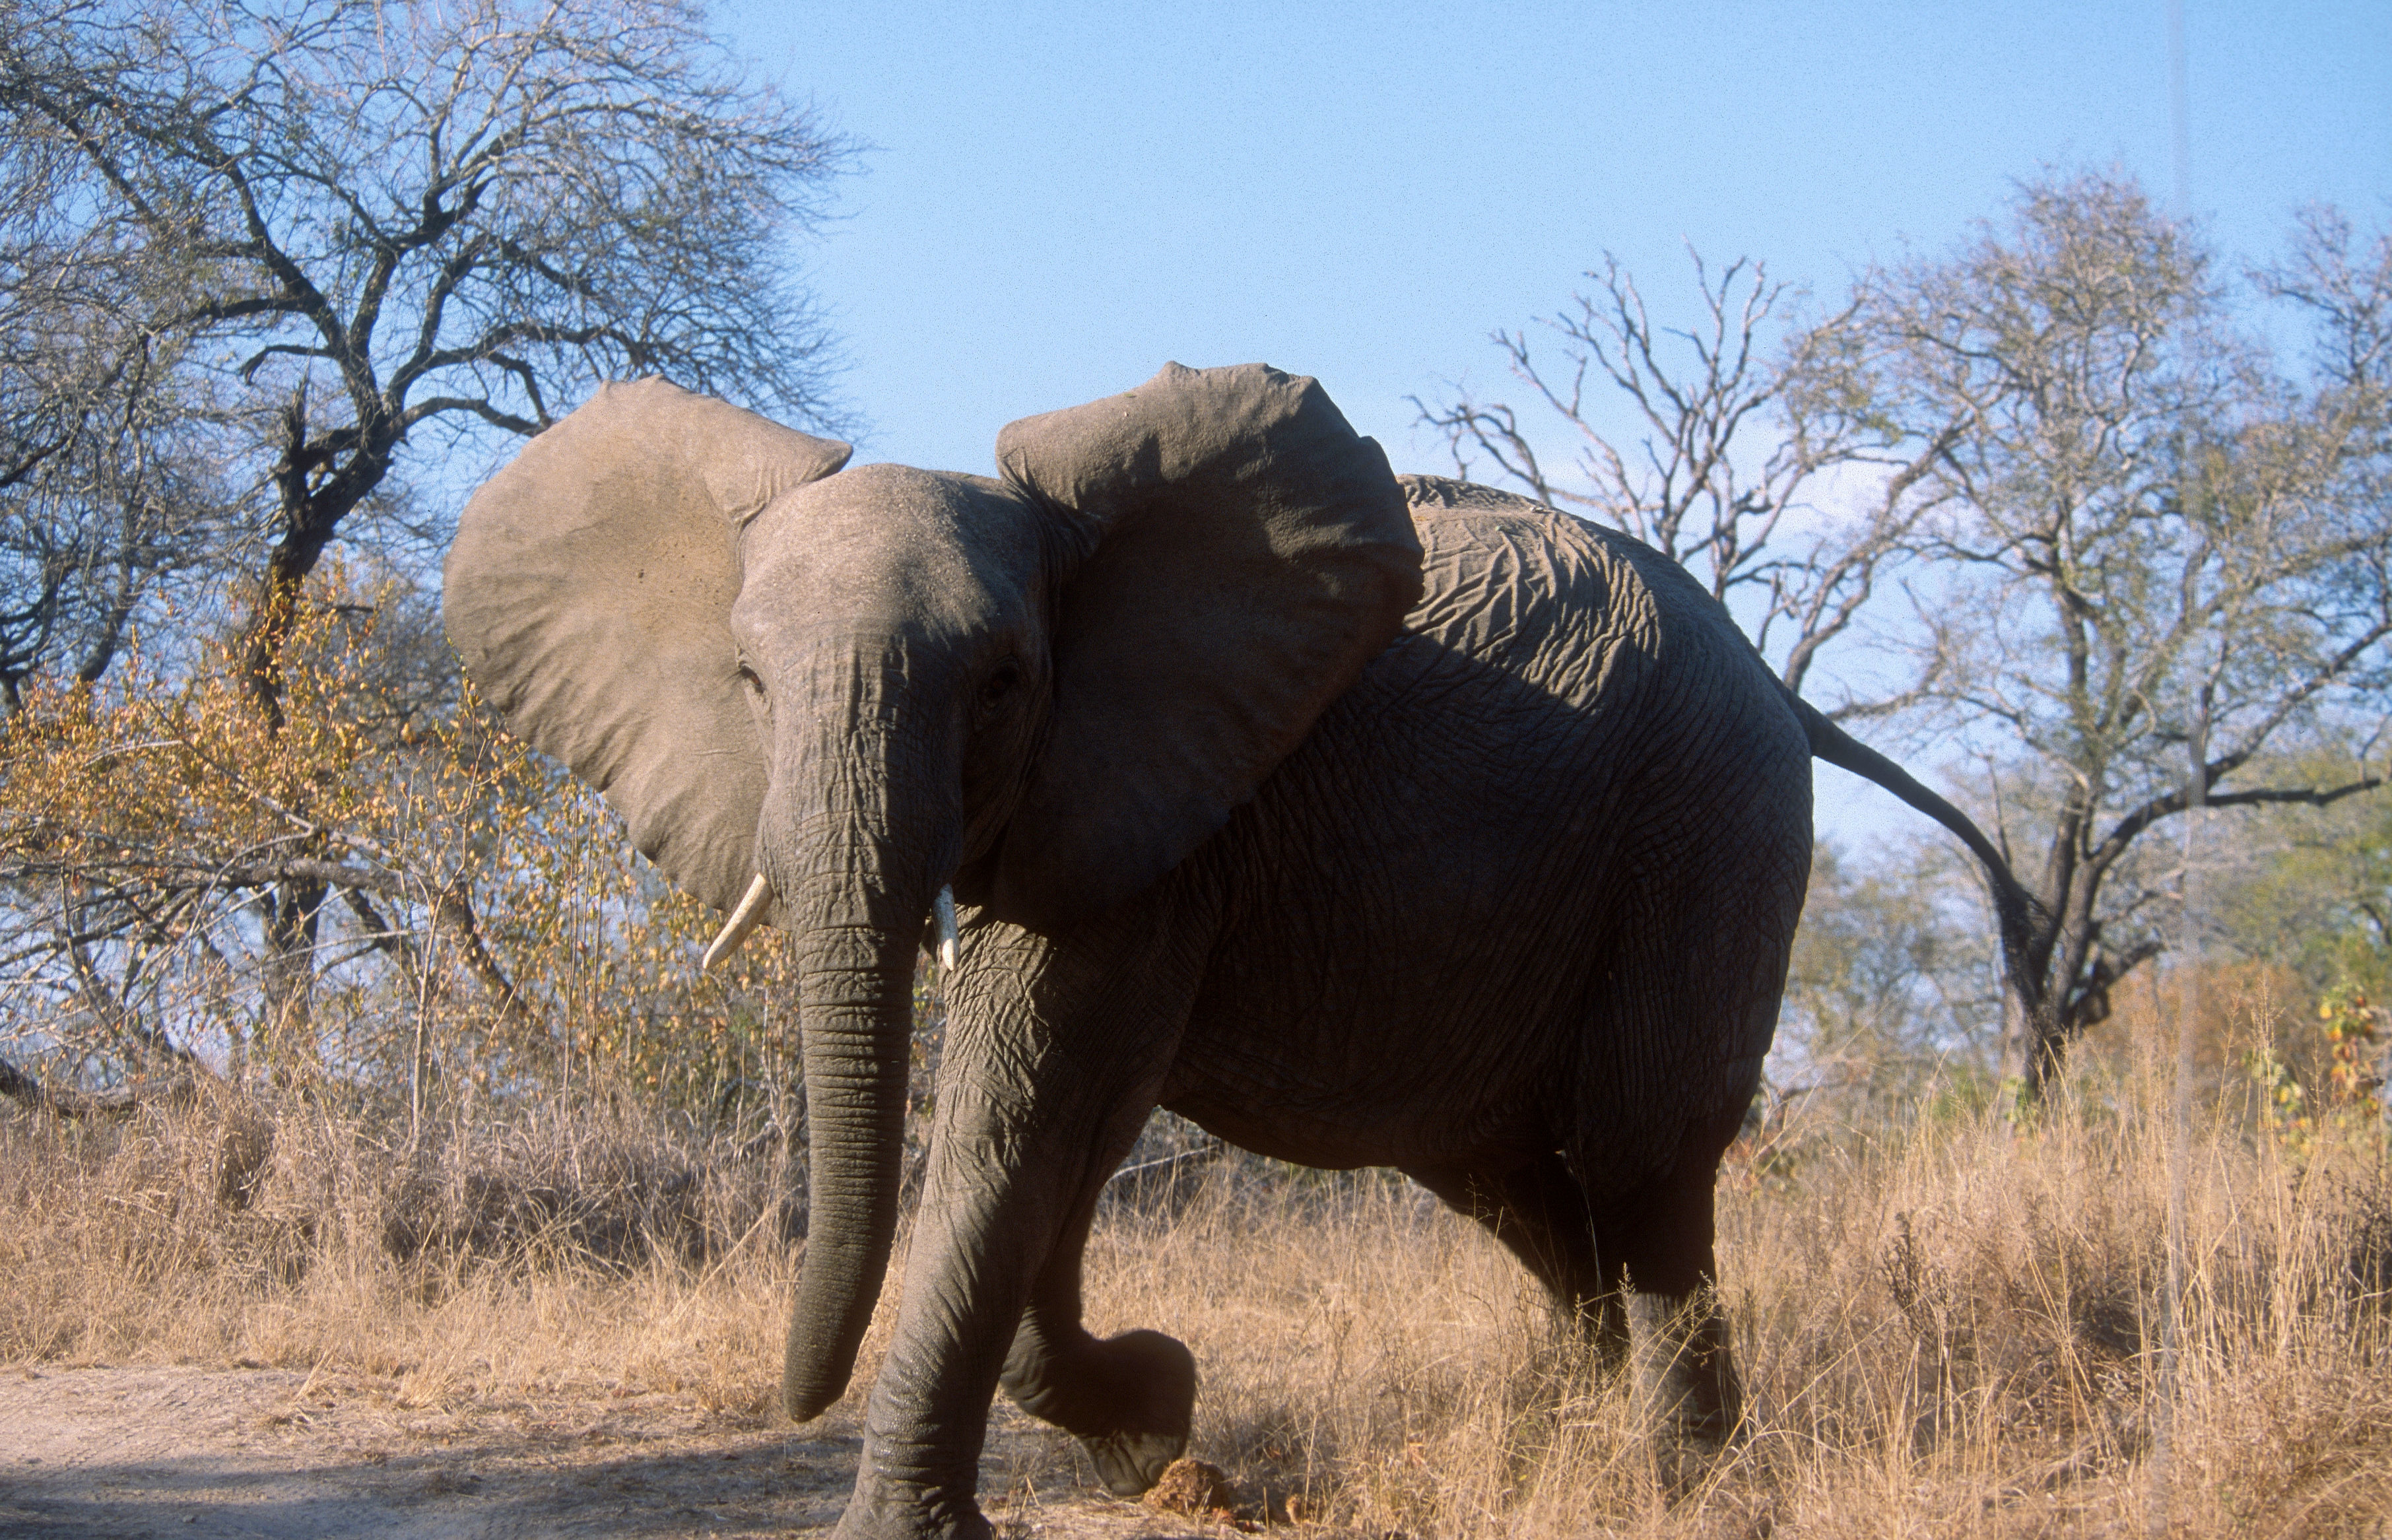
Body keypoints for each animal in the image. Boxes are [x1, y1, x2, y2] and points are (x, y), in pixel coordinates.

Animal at [440, 363, 2028, 1540]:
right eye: (750, 681)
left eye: (1005, 682)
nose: (793, 1398)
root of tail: (1769, 674)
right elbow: (1061, 1136)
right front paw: (1151, 1427)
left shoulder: (1153, 809)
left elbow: (1024, 1115)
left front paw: (1137, 1410)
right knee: (1509, 1178)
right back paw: (1552, 1444)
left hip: (1710, 819)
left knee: (1643, 1155)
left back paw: (1681, 1487)